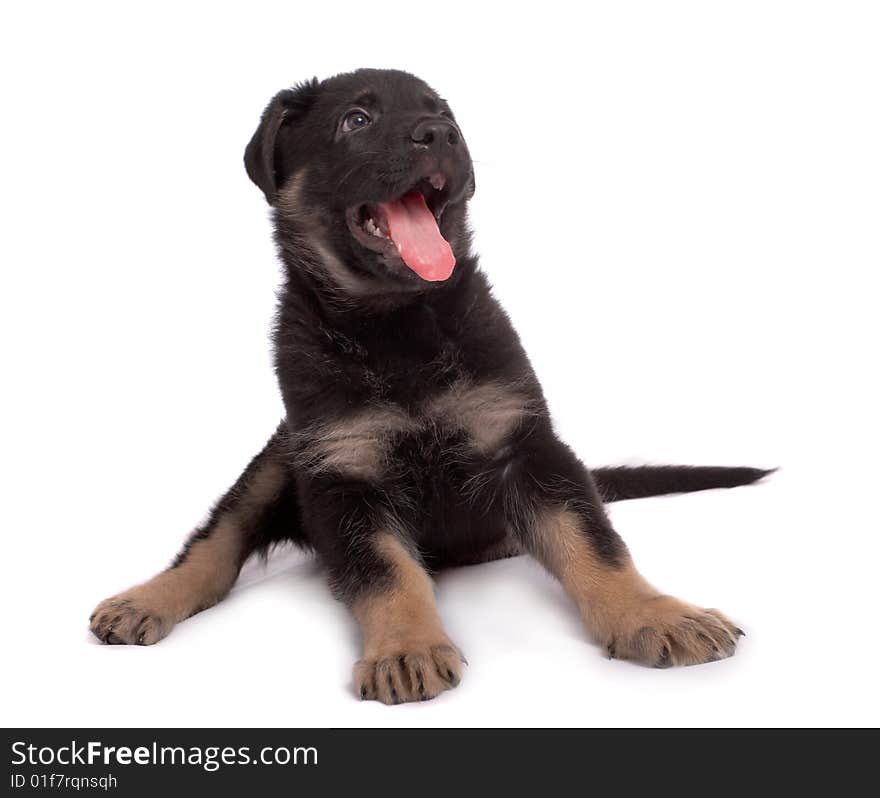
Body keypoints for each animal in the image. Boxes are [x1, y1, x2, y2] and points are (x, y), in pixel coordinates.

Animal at [91, 70, 768, 708]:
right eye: (356, 120)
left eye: (443, 114)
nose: (440, 135)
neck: (399, 325)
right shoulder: (344, 472)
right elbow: (389, 573)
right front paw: (406, 647)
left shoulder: (525, 446)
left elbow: (594, 543)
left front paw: (655, 615)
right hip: (278, 458)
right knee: (214, 544)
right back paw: (146, 598)